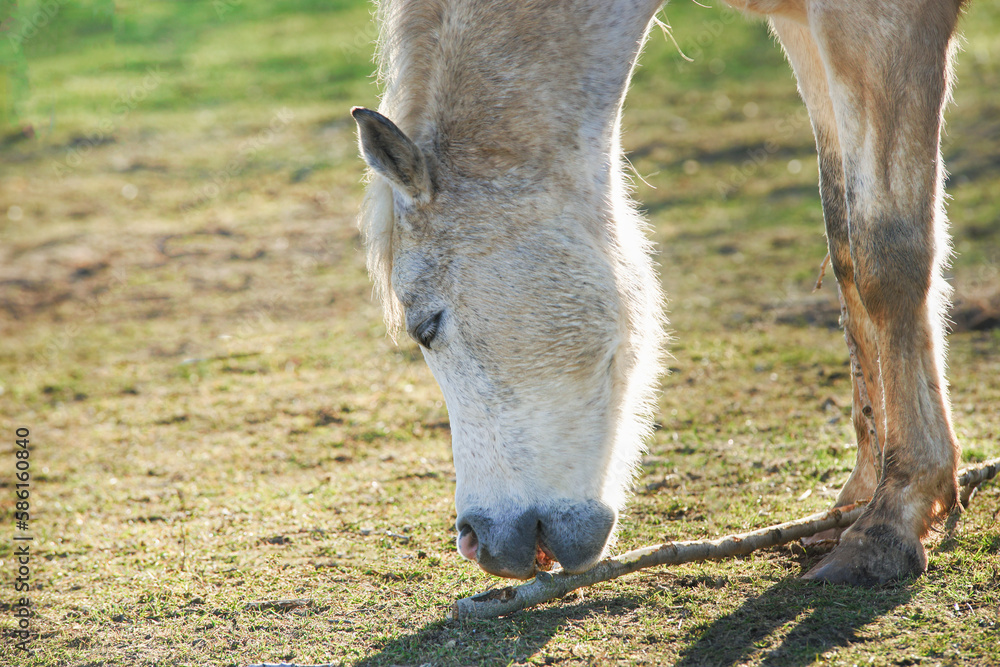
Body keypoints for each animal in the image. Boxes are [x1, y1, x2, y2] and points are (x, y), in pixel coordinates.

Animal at [351, 0, 964, 585]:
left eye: (426, 327)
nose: (476, 542)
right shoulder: (803, 30)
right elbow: (845, 248)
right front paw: (859, 498)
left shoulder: (876, 21)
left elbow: (887, 256)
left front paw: (892, 517)